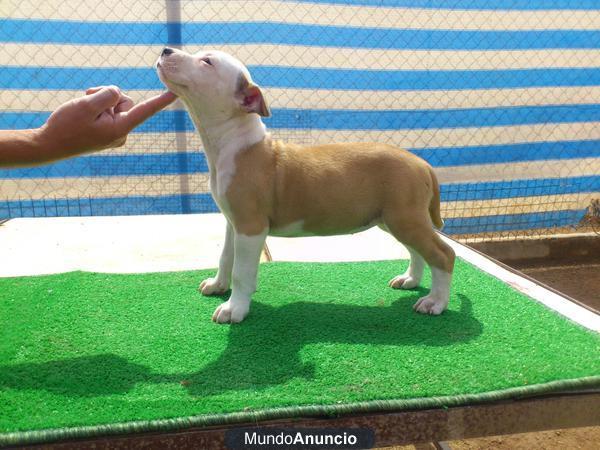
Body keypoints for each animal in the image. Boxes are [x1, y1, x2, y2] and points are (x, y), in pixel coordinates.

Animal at [156, 48, 454, 324]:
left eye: (207, 62)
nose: (165, 50)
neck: (233, 142)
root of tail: (421, 163)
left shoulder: (251, 227)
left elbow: (242, 272)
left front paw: (234, 309)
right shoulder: (234, 222)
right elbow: (225, 257)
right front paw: (218, 285)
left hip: (404, 217)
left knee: (443, 254)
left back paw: (435, 302)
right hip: (393, 219)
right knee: (418, 251)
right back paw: (410, 279)